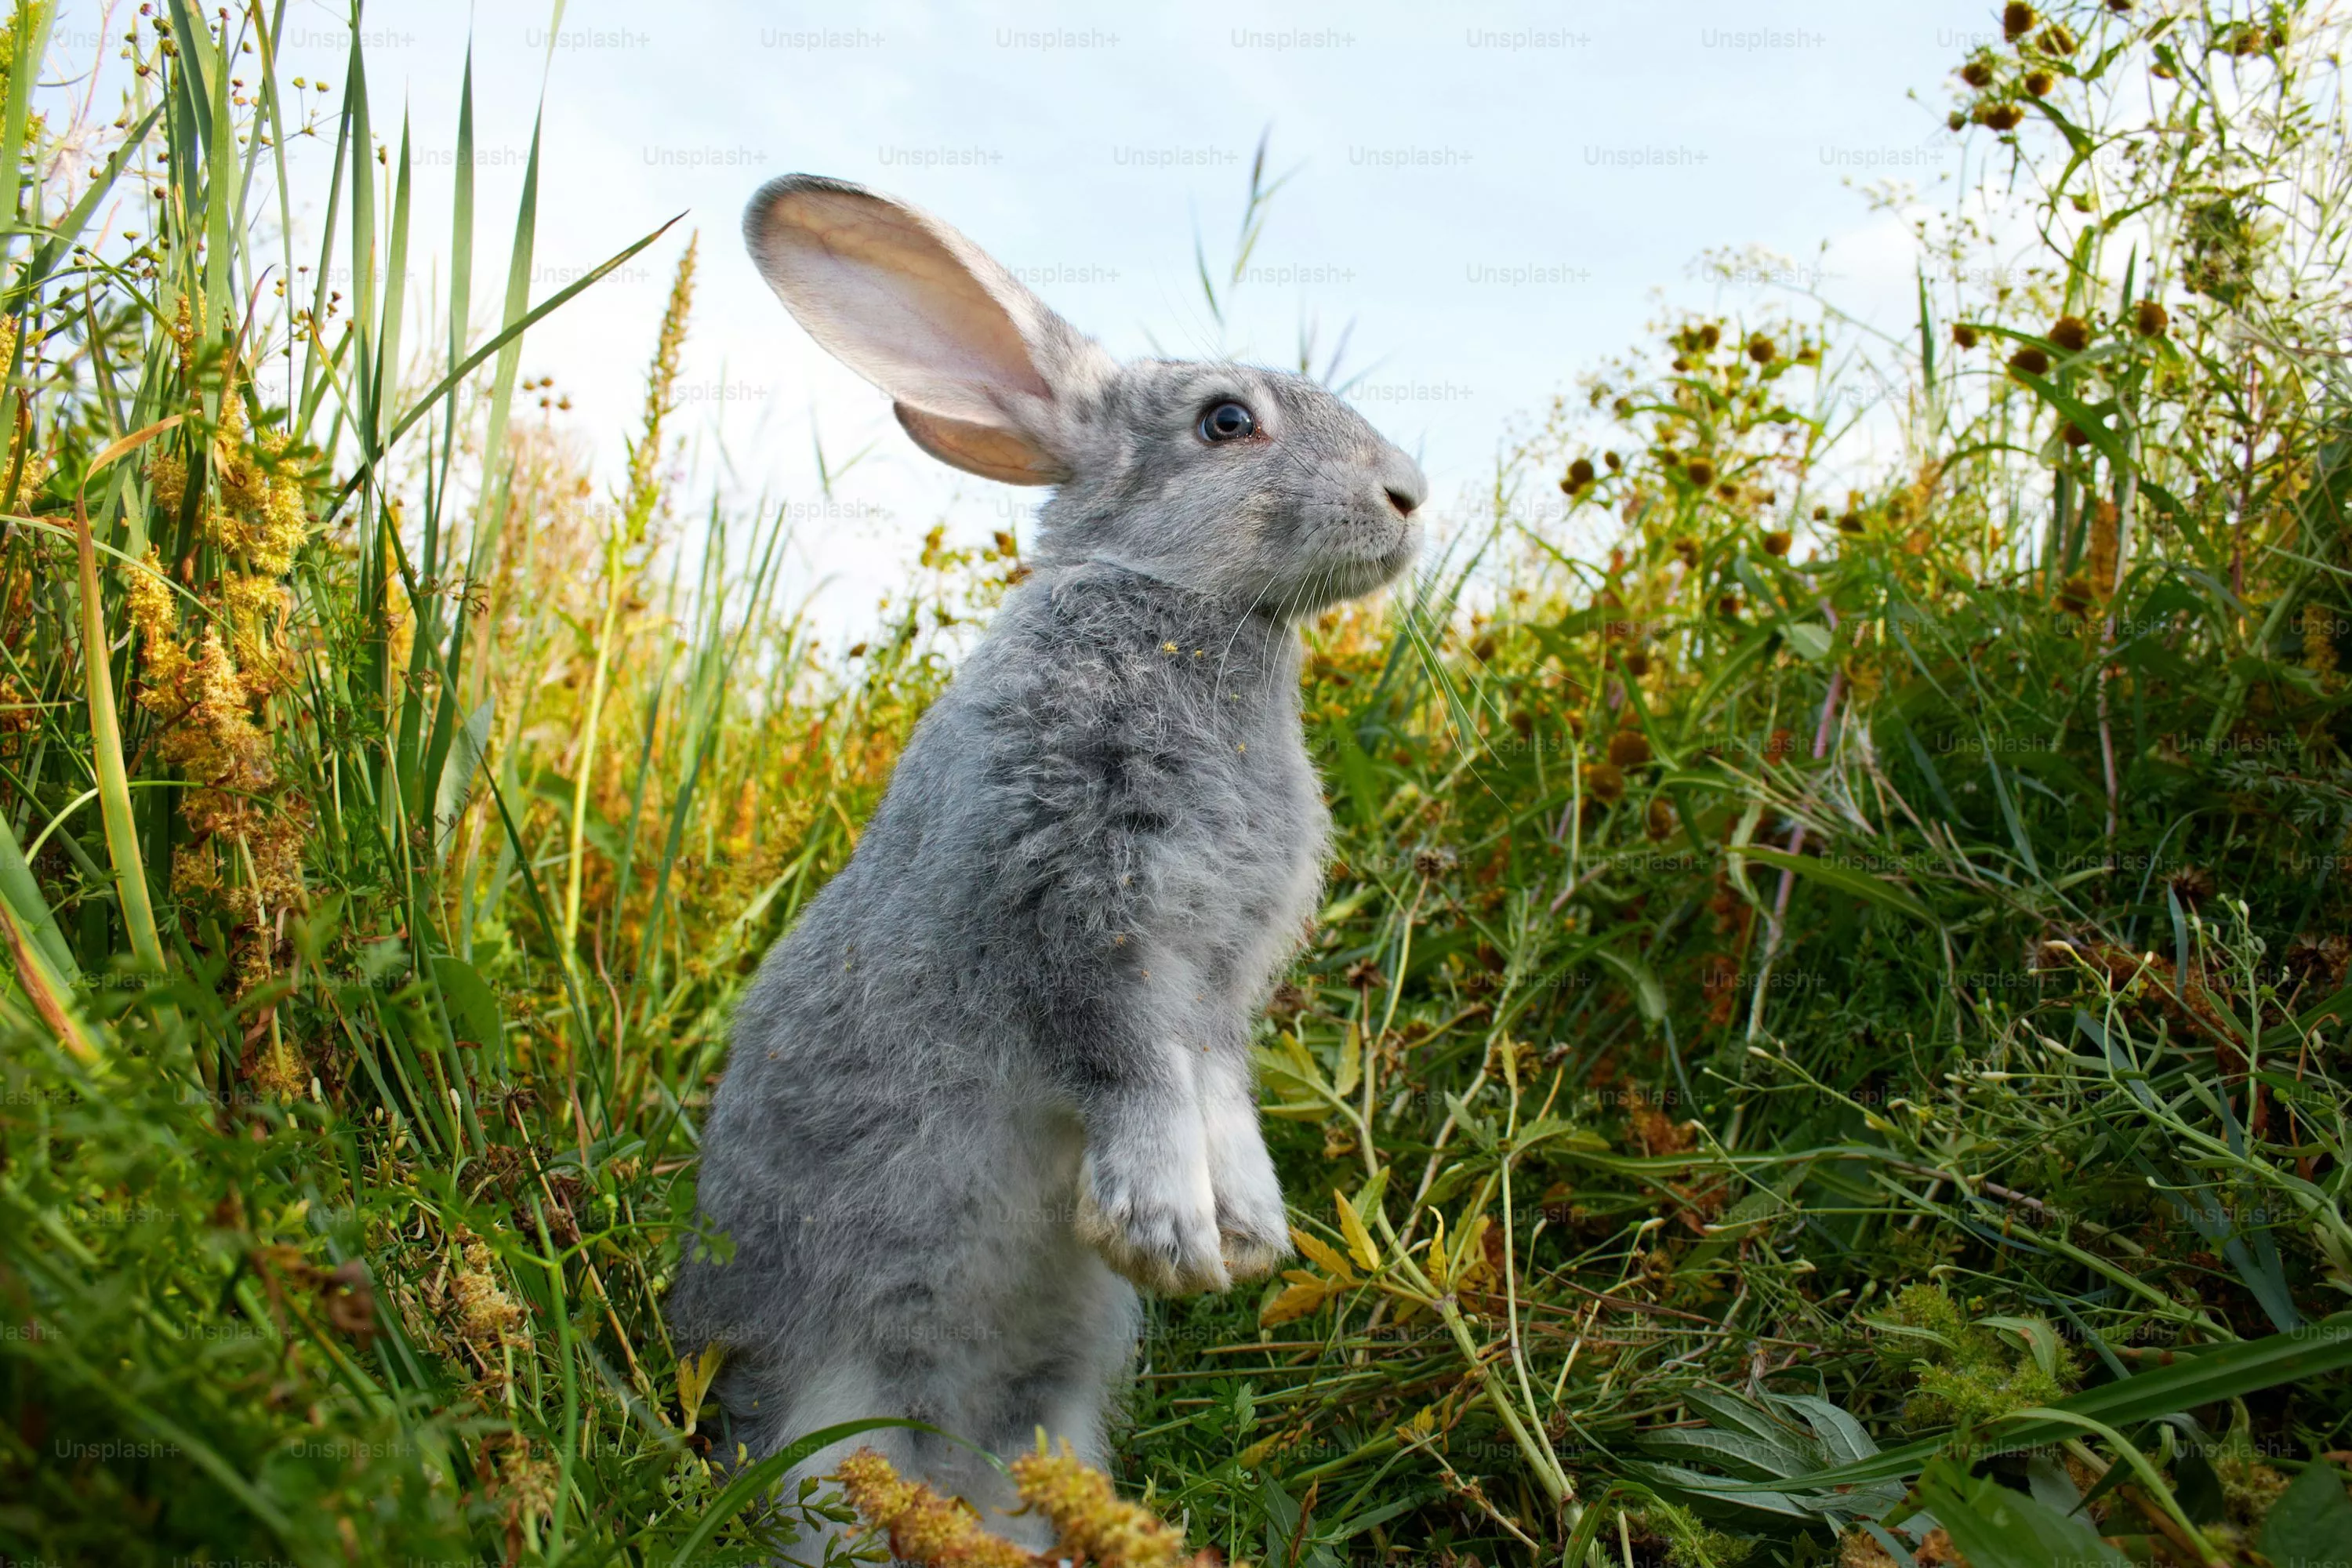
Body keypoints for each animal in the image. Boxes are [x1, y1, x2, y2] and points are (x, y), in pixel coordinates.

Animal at [667, 173, 1425, 1552]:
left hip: (1054, 1418)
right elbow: (1130, 1069)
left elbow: (1216, 1088)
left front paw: (1247, 1232)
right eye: (1226, 421)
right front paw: (1164, 1231)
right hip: (830, 1430)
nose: (1409, 494)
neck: (1182, 616)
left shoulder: (1217, 984)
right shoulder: (1067, 910)